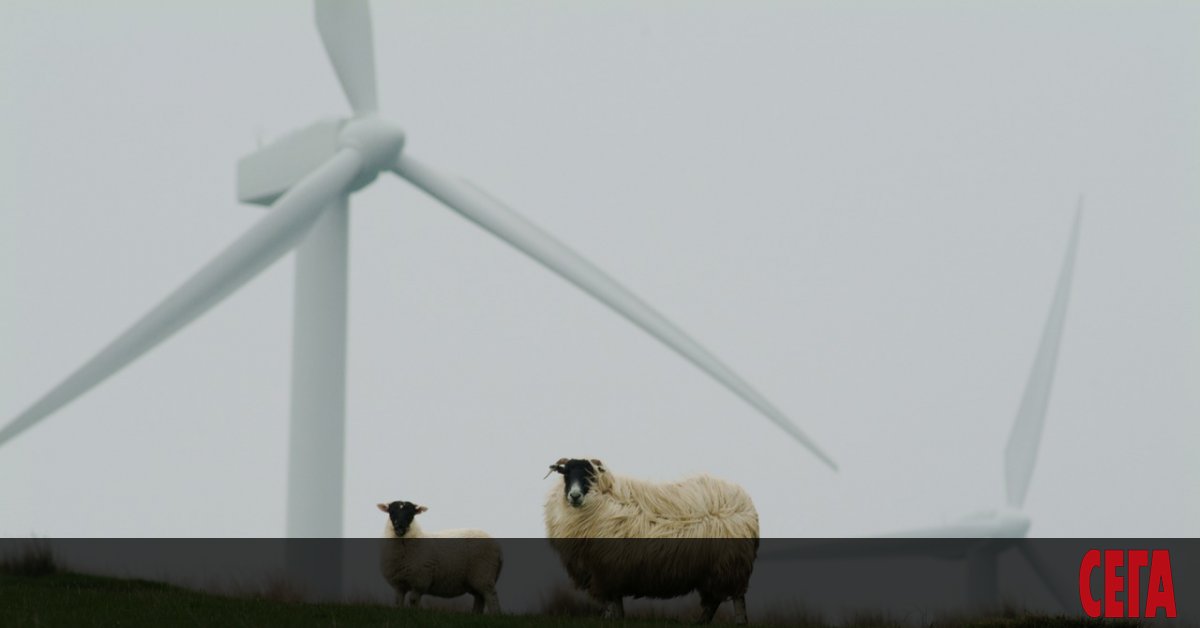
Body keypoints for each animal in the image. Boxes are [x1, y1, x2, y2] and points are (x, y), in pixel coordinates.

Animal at [376, 501, 504, 614]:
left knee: (491, 597)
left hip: (484, 574)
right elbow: (398, 602)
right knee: (479, 598)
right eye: (391, 512)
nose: (399, 527)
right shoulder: (398, 583)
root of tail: (497, 547)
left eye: (411, 513)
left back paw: (495, 615)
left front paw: (414, 613)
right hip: (476, 580)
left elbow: (413, 600)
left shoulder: (420, 581)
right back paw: (476, 615)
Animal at [547, 456, 758, 624]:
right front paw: (617, 620)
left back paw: (739, 622)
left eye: (590, 475)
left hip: (730, 565)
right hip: (712, 570)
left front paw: (609, 620)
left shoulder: (604, 570)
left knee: (736, 598)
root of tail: (745, 503)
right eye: (566, 474)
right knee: (712, 601)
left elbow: (610, 602)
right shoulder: (609, 572)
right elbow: (616, 604)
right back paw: (700, 622)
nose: (575, 495)